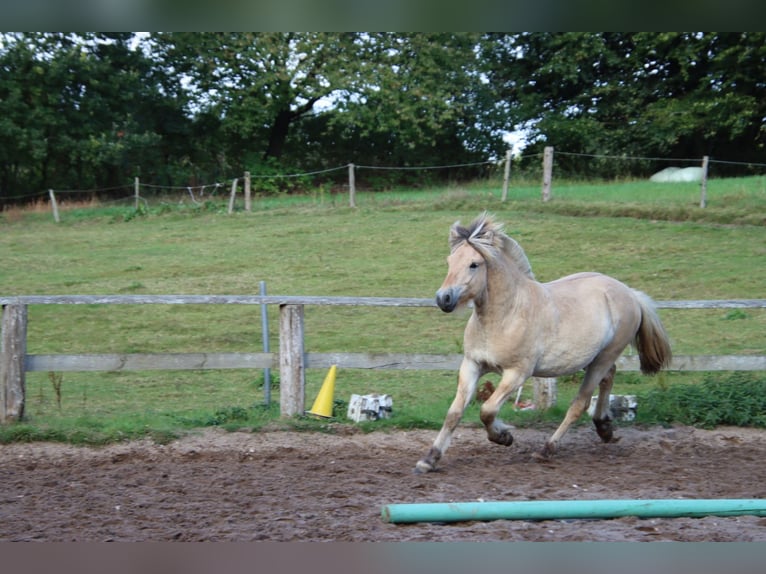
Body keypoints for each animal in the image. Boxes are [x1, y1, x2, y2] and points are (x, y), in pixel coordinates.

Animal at [416, 214, 676, 474]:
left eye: (474, 264)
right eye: (450, 261)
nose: (443, 299)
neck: (505, 315)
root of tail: (630, 293)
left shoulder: (517, 373)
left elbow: (487, 410)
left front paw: (503, 436)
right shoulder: (472, 365)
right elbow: (454, 413)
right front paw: (429, 460)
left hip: (604, 357)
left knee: (579, 404)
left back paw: (547, 449)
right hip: (592, 358)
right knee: (608, 378)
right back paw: (604, 428)